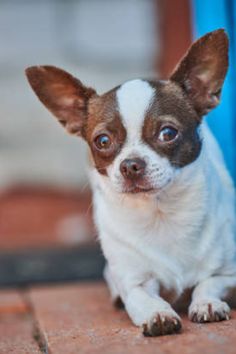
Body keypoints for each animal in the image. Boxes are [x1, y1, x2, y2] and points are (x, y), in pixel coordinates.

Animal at [25, 29, 236, 336]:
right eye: (102, 141)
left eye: (168, 133)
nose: (131, 165)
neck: (161, 214)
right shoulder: (135, 282)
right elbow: (143, 298)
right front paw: (158, 313)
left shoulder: (228, 274)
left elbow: (208, 283)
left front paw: (207, 303)